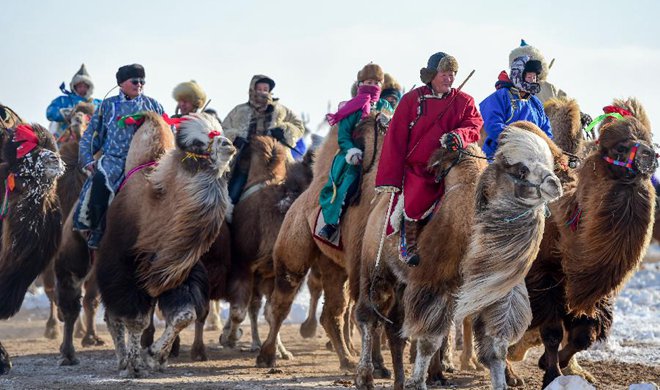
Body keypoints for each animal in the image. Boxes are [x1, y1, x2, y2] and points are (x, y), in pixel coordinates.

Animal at [95, 112, 235, 374]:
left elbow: (184, 316)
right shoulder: (125, 269)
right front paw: (135, 364)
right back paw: (122, 360)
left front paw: (154, 356)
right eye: (197, 144)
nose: (228, 145)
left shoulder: (178, 274)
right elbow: (136, 319)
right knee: (114, 315)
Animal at [254, 111, 386, 374]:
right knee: (282, 301)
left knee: (332, 310)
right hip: (294, 246)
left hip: (332, 262)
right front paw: (377, 366)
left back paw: (347, 359)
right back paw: (268, 356)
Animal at [506, 97, 656, 386]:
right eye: (620, 147)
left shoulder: (591, 292)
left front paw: (552, 364)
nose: (650, 157)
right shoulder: (544, 277)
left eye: (649, 138)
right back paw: (507, 372)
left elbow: (583, 335)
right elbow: (552, 332)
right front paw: (552, 374)